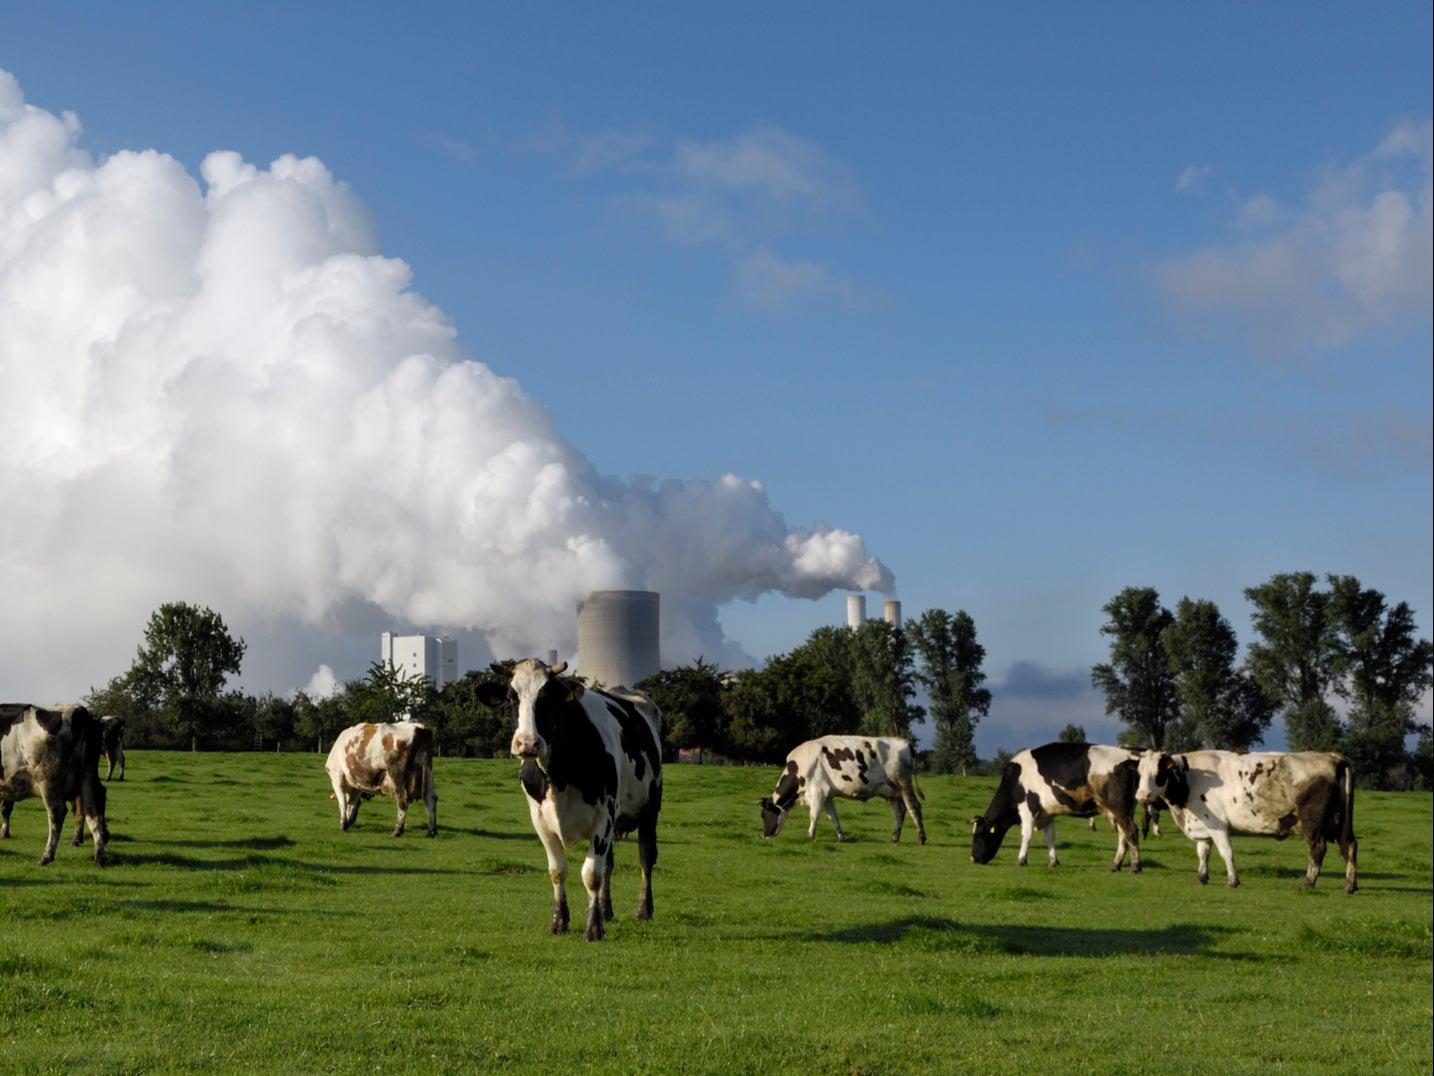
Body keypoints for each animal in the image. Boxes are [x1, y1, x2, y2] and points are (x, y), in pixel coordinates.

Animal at [0, 708, 108, 866]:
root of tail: (78, 710)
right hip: (87, 776)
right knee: (93, 810)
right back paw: (100, 856)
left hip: (47, 779)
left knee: (57, 812)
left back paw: (46, 856)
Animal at [478, 657, 662, 941]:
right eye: (510, 698)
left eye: (548, 698)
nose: (527, 743)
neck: (558, 774)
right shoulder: (540, 819)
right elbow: (558, 870)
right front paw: (560, 922)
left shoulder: (604, 816)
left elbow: (591, 874)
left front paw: (593, 929)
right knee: (609, 864)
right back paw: (606, 910)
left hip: (650, 808)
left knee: (645, 857)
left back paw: (643, 909)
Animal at [757, 740, 923, 849]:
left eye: (764, 815)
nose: (765, 835)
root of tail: (906, 743)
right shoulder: (827, 796)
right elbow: (833, 816)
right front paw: (841, 837)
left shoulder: (818, 792)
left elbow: (814, 815)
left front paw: (810, 836)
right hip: (892, 792)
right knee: (899, 811)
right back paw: (894, 838)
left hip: (904, 784)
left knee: (914, 807)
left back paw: (921, 838)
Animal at [969, 746, 1147, 872]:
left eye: (978, 834)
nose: (973, 859)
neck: (1014, 779)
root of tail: (1130, 759)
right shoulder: (1048, 813)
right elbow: (1050, 838)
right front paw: (1053, 861)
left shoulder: (1028, 808)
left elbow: (1026, 835)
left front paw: (1021, 860)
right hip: (1125, 809)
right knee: (1123, 835)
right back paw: (1115, 865)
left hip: (1119, 808)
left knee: (1131, 831)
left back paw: (1135, 866)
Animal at [1129, 751, 1353, 895]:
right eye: (1139, 773)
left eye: (1158, 773)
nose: (1142, 795)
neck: (1189, 777)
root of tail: (1333, 757)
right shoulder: (1203, 823)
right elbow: (1203, 852)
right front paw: (1201, 877)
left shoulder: (1217, 824)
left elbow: (1226, 853)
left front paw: (1232, 881)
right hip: (1341, 823)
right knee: (1349, 846)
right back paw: (1349, 886)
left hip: (1313, 824)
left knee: (1317, 850)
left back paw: (1307, 884)